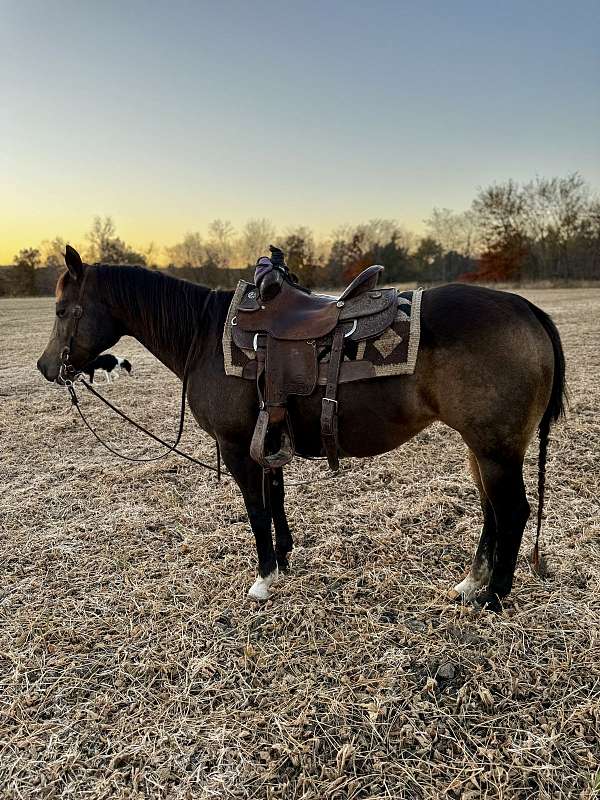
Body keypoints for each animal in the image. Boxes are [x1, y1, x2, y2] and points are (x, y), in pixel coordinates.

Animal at [37, 247, 568, 608]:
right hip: (482, 448)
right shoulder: (267, 440)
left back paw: (494, 596)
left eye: (63, 310)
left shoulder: (238, 447)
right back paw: (472, 583)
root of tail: (527, 309)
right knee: (492, 511)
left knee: (513, 512)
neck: (204, 336)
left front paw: (264, 577)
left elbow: (256, 510)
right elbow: (275, 501)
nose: (46, 367)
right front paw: (285, 559)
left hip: (496, 448)